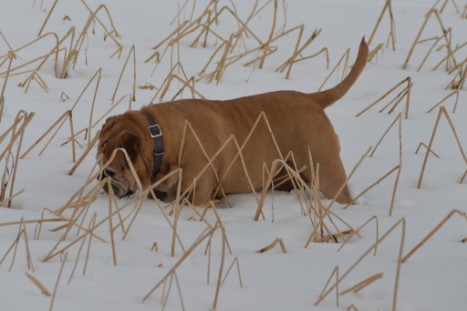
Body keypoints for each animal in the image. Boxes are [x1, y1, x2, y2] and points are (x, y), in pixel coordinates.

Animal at [98, 37, 370, 206]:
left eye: (110, 171)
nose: (102, 181)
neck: (161, 138)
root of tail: (312, 98)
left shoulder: (198, 193)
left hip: (324, 168)